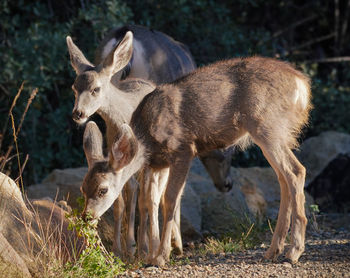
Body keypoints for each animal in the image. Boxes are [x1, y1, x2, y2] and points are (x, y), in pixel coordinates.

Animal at [67, 25, 234, 260]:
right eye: (74, 87)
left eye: (96, 89)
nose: (78, 113)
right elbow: (123, 198)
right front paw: (123, 248)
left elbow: (146, 199)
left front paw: (144, 248)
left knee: (157, 195)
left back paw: (163, 244)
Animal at [79, 54, 312, 268]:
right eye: (83, 188)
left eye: (103, 189)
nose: (86, 216)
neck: (148, 140)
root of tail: (302, 86)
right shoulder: (157, 163)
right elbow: (151, 200)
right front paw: (152, 255)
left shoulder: (183, 150)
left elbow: (170, 200)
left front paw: (161, 257)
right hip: (274, 132)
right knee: (283, 178)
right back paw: (274, 250)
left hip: (267, 125)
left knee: (296, 171)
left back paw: (293, 251)